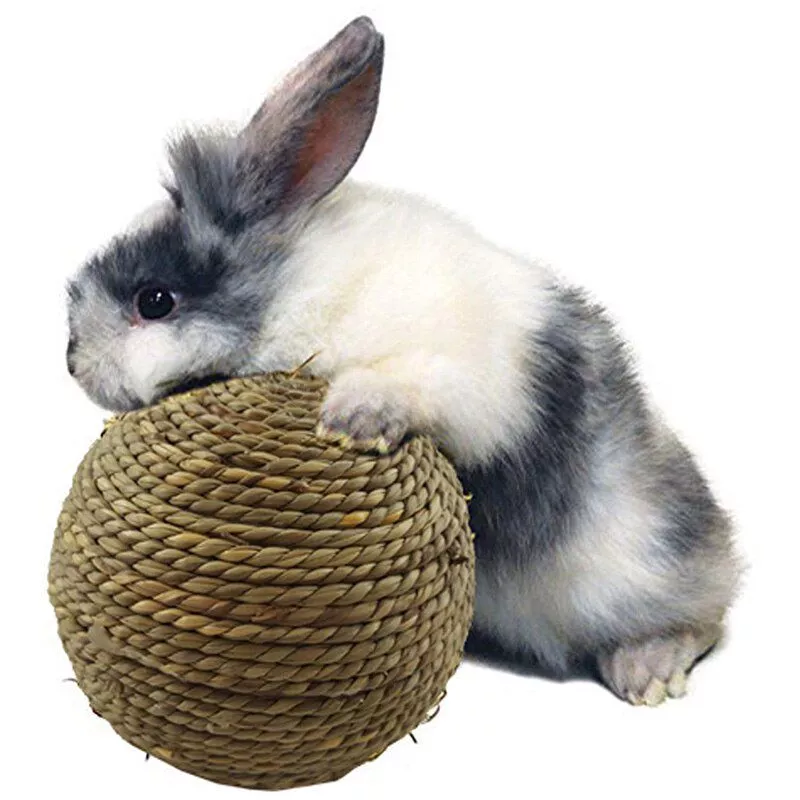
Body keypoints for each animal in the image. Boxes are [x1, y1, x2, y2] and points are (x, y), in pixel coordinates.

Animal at [65, 17, 740, 708]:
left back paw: (649, 671)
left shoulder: (467, 375)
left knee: (703, 618)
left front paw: (352, 419)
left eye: (154, 301)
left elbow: (415, 382)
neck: (294, 287)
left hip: (640, 566)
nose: (72, 363)